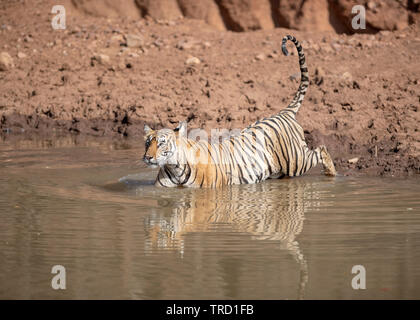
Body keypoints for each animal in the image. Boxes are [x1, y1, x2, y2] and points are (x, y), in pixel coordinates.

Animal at [143, 35, 336, 189]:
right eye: (147, 143)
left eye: (161, 143)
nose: (148, 158)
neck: (174, 167)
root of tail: (283, 113)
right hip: (280, 170)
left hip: (296, 161)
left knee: (321, 149)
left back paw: (332, 173)